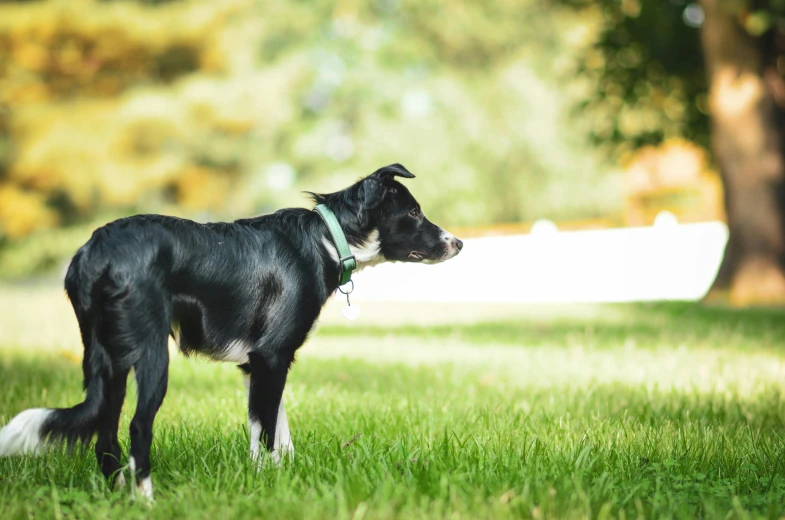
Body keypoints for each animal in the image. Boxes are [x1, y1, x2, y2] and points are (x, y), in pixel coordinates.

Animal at [0, 164, 460, 500]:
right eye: (414, 213)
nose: (458, 243)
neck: (329, 239)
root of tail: (97, 251)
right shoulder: (271, 357)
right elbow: (270, 434)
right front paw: (272, 483)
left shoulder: (258, 365)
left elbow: (273, 430)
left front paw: (277, 480)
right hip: (151, 356)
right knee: (136, 428)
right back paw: (146, 500)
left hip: (107, 360)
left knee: (105, 434)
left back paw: (117, 495)